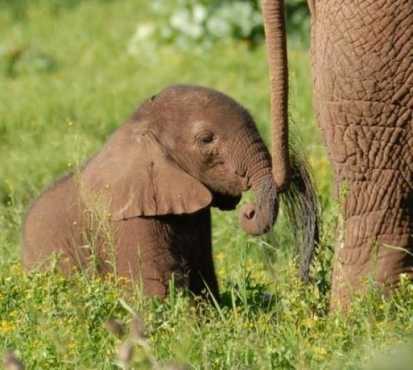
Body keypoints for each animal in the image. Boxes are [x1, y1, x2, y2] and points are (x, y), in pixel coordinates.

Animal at [23, 85, 318, 300]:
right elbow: (154, 290)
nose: (249, 210)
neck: (139, 129)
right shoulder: (129, 221)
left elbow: (202, 275)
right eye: (206, 139)